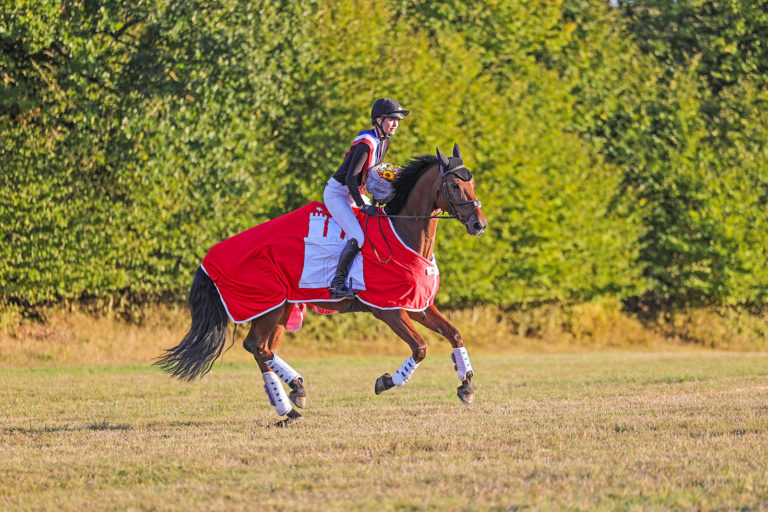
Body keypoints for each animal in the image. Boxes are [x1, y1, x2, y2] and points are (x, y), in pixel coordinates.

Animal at [156, 143, 486, 424]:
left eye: (472, 184)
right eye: (454, 186)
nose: (479, 224)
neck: (403, 233)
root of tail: (210, 260)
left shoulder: (417, 305)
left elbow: (454, 334)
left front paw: (466, 385)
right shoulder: (388, 310)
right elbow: (420, 348)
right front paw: (386, 381)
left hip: (283, 308)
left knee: (262, 349)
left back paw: (292, 400)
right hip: (269, 305)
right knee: (257, 347)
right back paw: (292, 398)